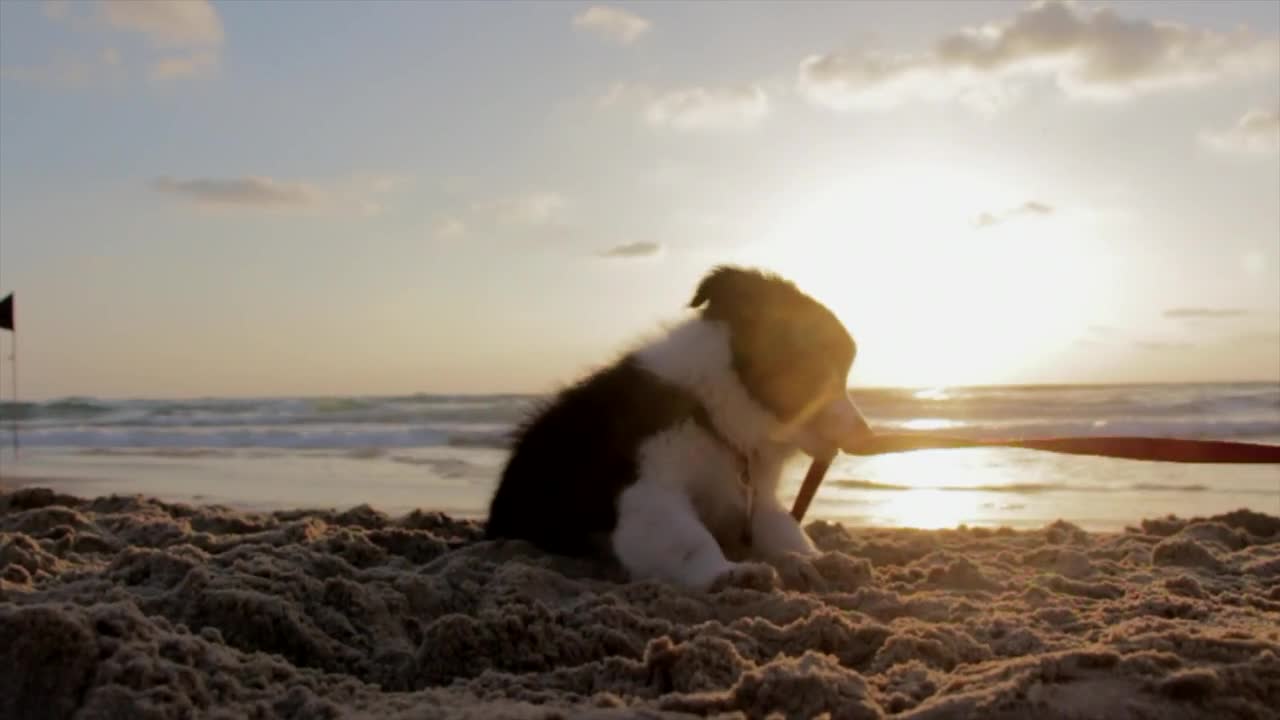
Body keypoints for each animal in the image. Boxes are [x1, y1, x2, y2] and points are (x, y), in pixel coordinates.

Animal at [483, 265, 875, 589]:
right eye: (818, 368)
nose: (867, 436)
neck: (711, 409)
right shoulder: (647, 485)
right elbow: (690, 537)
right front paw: (728, 573)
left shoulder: (755, 497)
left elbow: (784, 528)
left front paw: (818, 561)